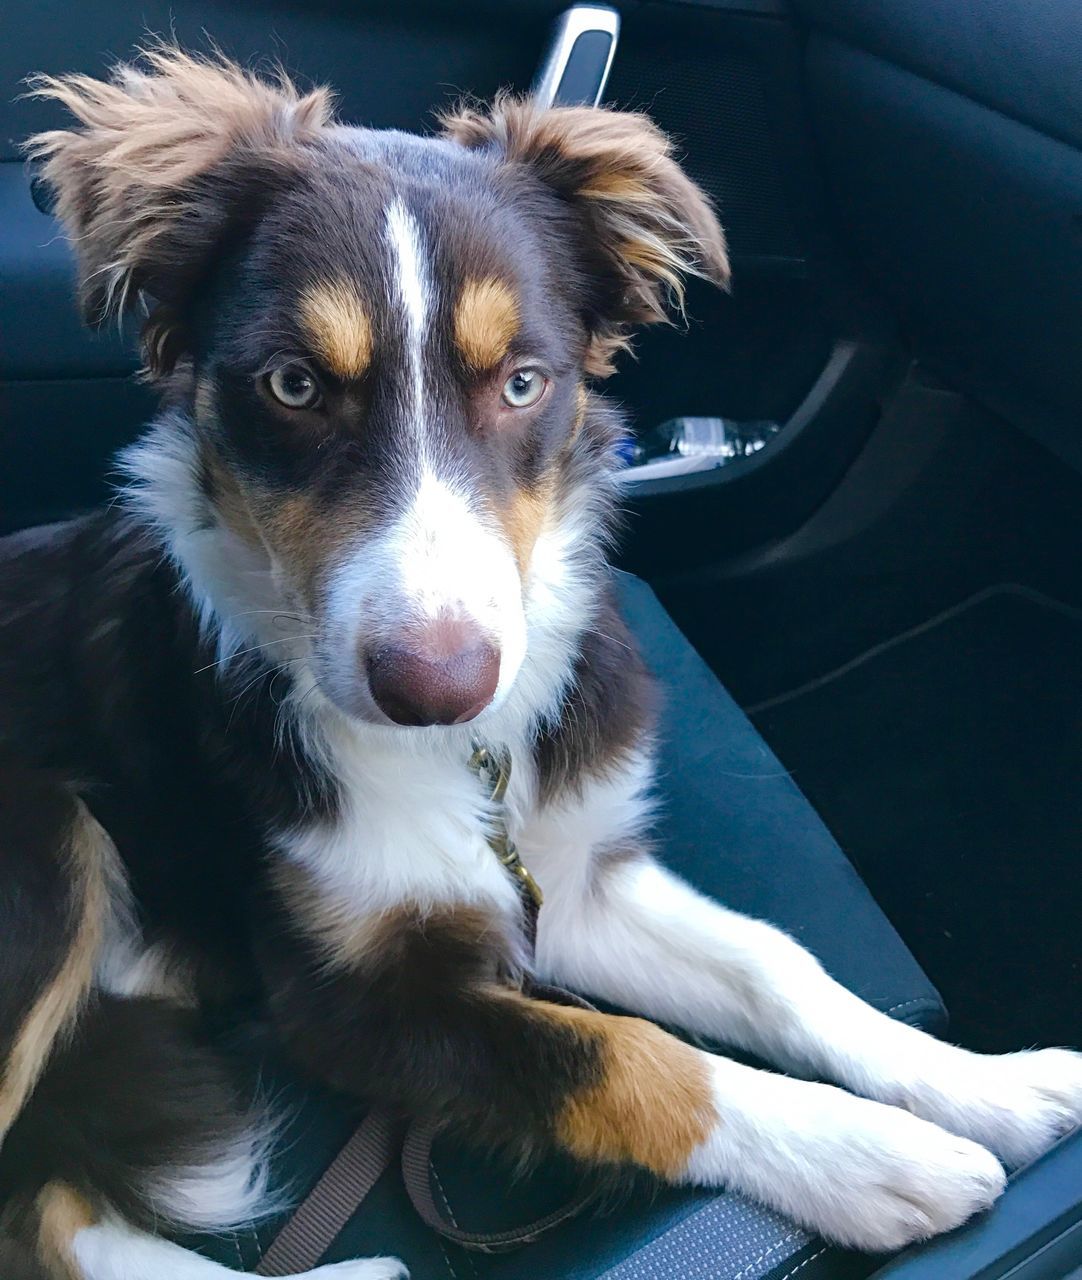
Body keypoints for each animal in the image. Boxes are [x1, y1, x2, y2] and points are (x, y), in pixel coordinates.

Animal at [2, 47, 1080, 1280]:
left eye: (522, 383)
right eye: (291, 385)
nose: (435, 687)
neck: (468, 762)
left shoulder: (562, 884)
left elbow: (773, 962)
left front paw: (983, 1084)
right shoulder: (345, 1001)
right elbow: (618, 1052)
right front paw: (866, 1153)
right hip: (45, 848)